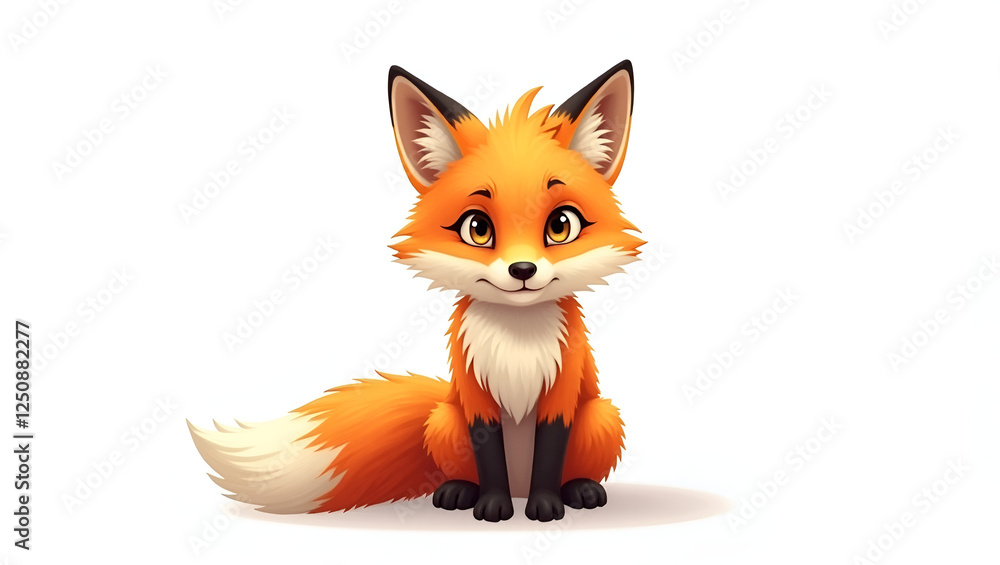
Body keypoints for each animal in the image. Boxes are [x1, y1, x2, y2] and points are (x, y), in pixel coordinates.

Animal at [188, 60, 644, 522]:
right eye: (478, 228)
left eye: (561, 226)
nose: (522, 270)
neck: (518, 339)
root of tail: (521, 487)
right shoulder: (475, 397)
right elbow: (489, 457)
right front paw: (492, 505)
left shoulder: (562, 394)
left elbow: (550, 455)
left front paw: (547, 504)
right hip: (444, 418)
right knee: (462, 469)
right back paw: (459, 491)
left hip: (603, 415)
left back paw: (580, 489)